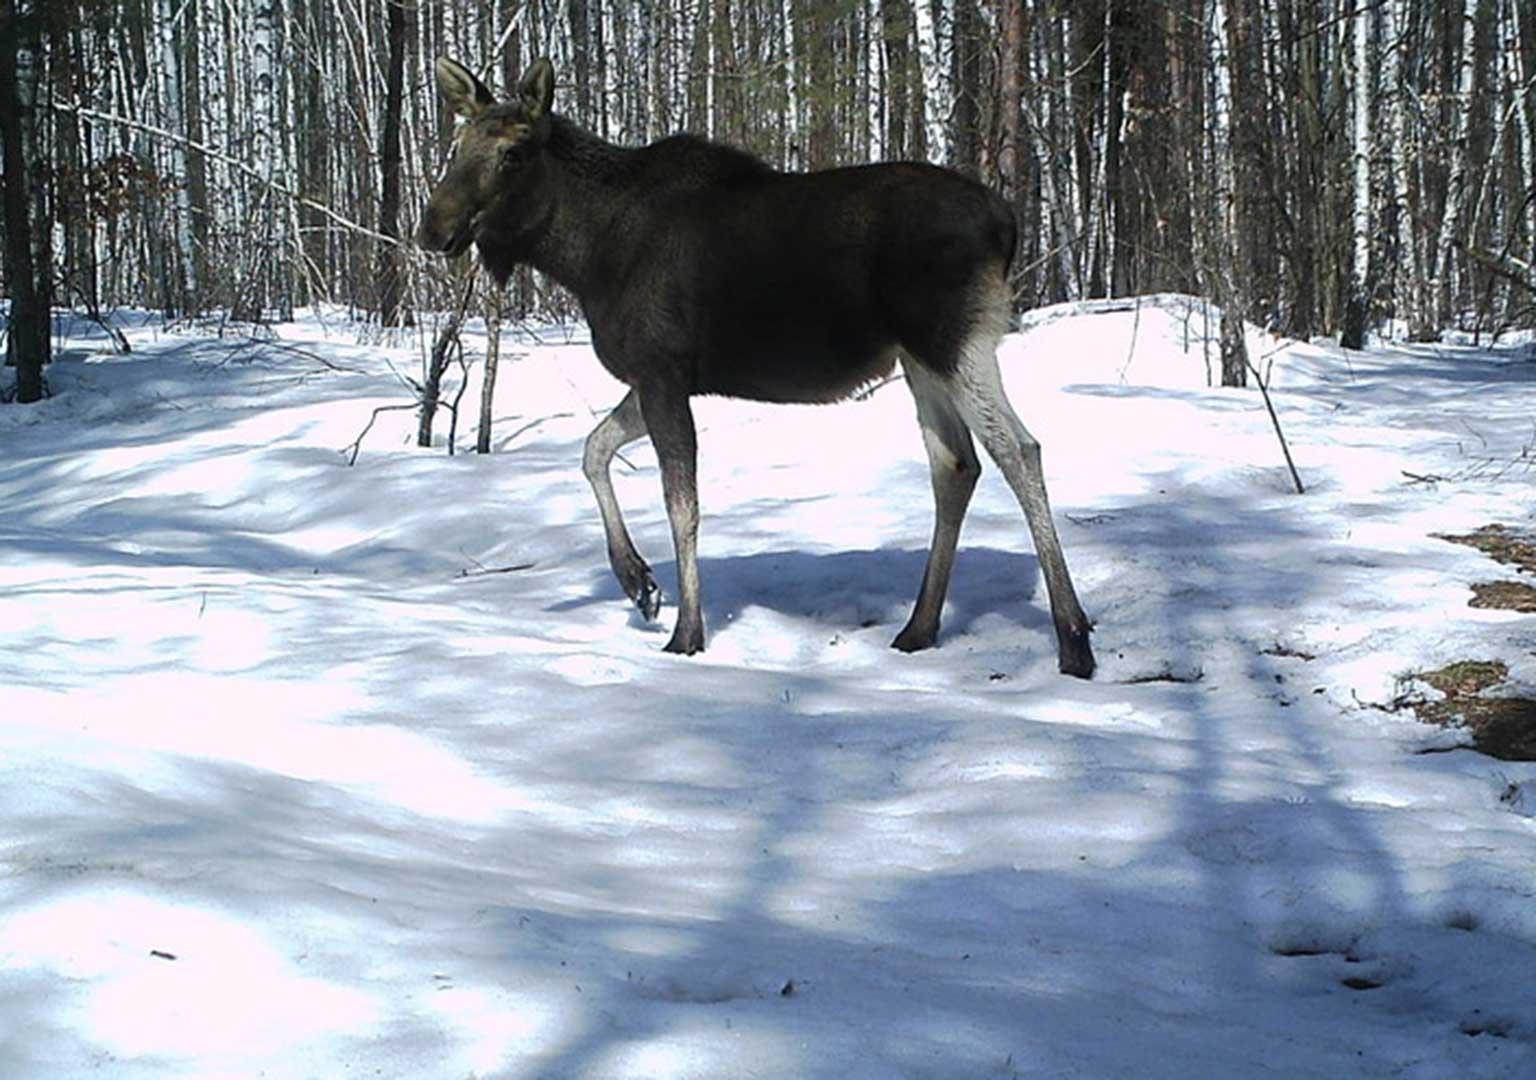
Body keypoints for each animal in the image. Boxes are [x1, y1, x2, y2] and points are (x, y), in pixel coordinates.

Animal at [417, 56, 1093, 675]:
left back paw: (1072, 639)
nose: (433, 229)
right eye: (456, 146)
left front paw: (687, 632)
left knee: (1019, 450)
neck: (583, 256)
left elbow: (680, 502)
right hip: (918, 358)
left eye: (513, 154)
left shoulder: (662, 371)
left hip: (953, 340)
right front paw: (638, 583)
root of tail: (1008, 223)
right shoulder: (660, 376)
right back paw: (920, 627)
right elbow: (593, 450)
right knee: (955, 463)